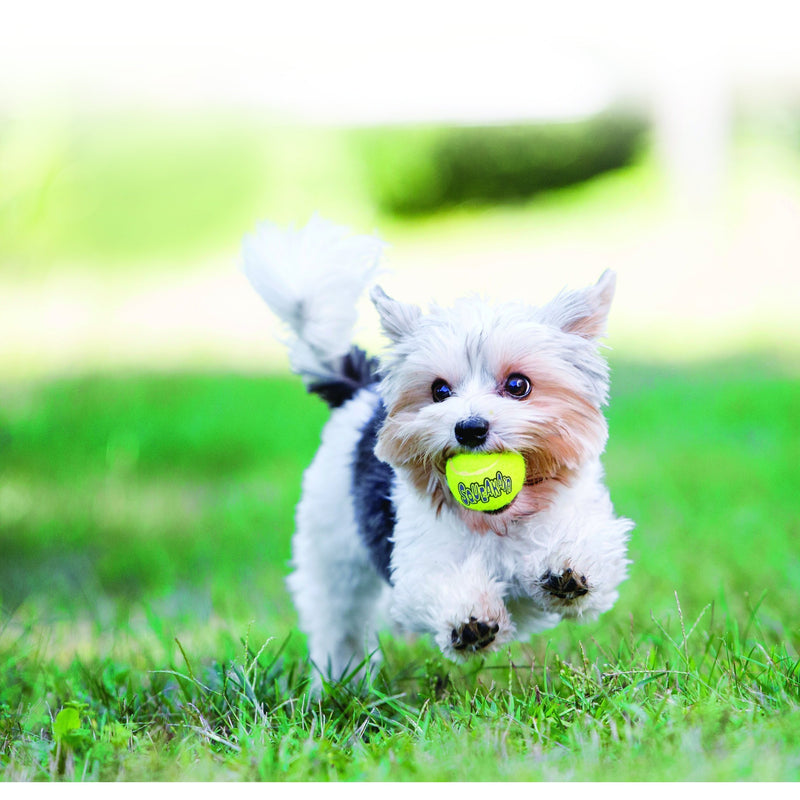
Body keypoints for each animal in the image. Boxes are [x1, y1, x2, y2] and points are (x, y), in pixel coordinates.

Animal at [242, 216, 632, 684]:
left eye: (518, 384)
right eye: (439, 391)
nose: (470, 428)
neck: (498, 523)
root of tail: (359, 389)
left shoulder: (586, 524)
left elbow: (587, 557)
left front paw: (564, 566)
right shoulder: (416, 563)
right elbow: (435, 581)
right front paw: (470, 621)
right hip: (332, 547)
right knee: (339, 617)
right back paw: (341, 679)